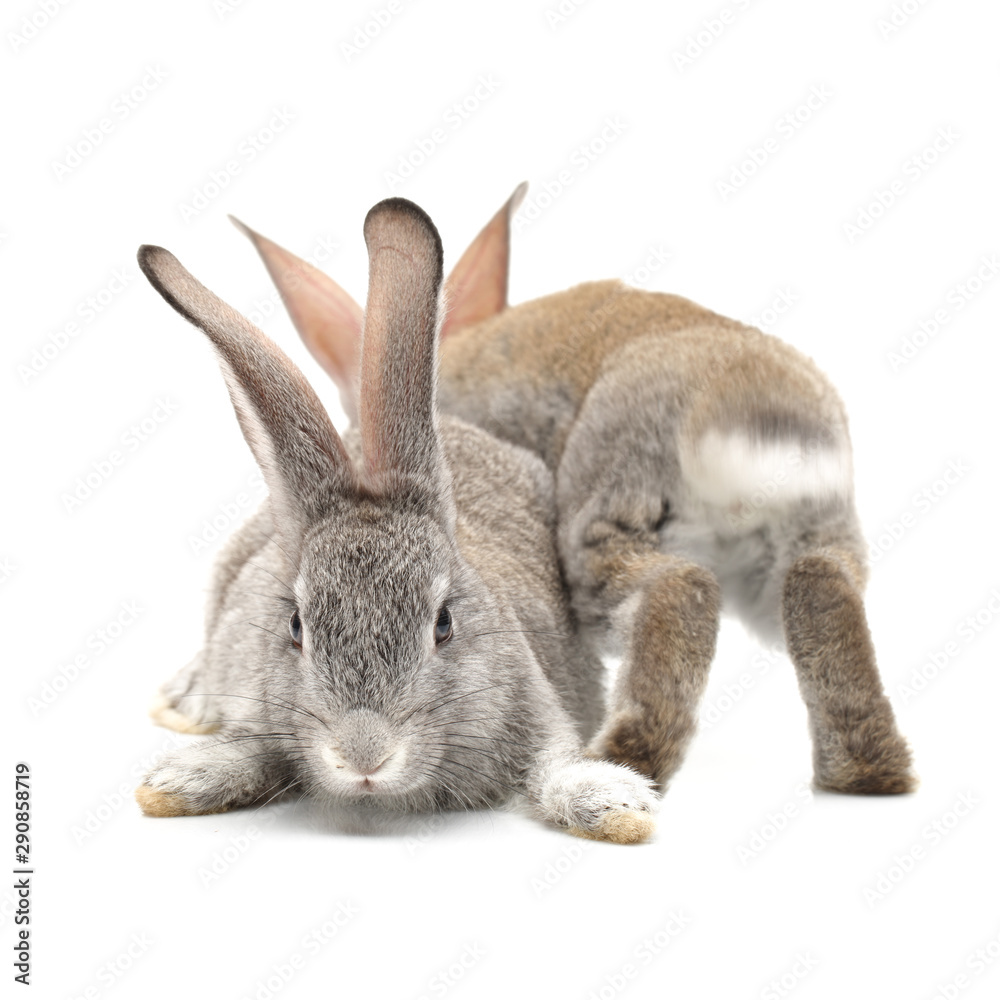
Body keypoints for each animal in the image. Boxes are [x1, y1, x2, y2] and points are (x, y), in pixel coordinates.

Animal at [132, 197, 659, 845]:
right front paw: (177, 782)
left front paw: (617, 805)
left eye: (444, 624)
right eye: (295, 628)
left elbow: (556, 764)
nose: (364, 755)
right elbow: (247, 747)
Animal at [234, 184, 916, 798]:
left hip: (606, 522)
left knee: (681, 591)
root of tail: (742, 410)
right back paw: (868, 772)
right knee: (819, 590)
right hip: (802, 537)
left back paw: (623, 758)